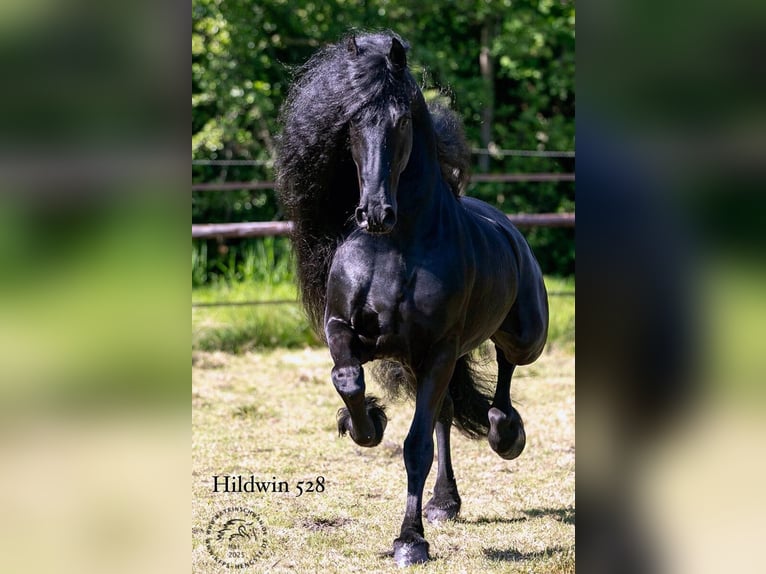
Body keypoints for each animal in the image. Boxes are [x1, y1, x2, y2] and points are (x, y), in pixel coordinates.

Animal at [276, 31, 549, 567]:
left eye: (400, 120)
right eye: (351, 120)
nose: (375, 212)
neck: (394, 248)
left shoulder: (438, 349)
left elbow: (416, 447)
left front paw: (409, 542)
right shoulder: (349, 331)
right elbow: (347, 378)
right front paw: (364, 423)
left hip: (520, 337)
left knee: (504, 368)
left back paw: (506, 433)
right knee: (446, 413)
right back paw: (445, 502)